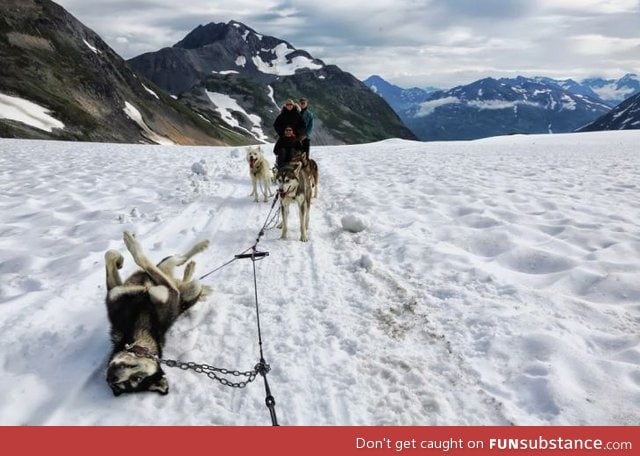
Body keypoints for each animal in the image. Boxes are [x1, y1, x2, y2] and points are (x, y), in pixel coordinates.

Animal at [102, 232, 208, 396]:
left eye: (137, 378)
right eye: (123, 385)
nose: (112, 377)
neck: (138, 327)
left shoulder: (169, 291)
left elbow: (140, 258)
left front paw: (130, 245)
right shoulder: (116, 292)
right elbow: (110, 254)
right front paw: (119, 260)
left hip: (191, 286)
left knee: (178, 261)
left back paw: (199, 249)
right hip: (177, 277)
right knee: (176, 263)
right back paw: (190, 268)